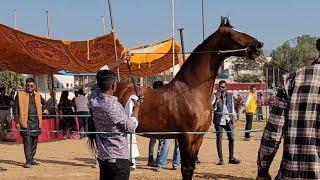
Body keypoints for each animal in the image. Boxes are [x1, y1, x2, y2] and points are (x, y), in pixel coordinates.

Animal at [115, 16, 262, 179]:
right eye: (232, 34)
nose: (258, 45)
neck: (192, 91)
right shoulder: (186, 136)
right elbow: (185, 168)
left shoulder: (198, 138)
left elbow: (191, 168)